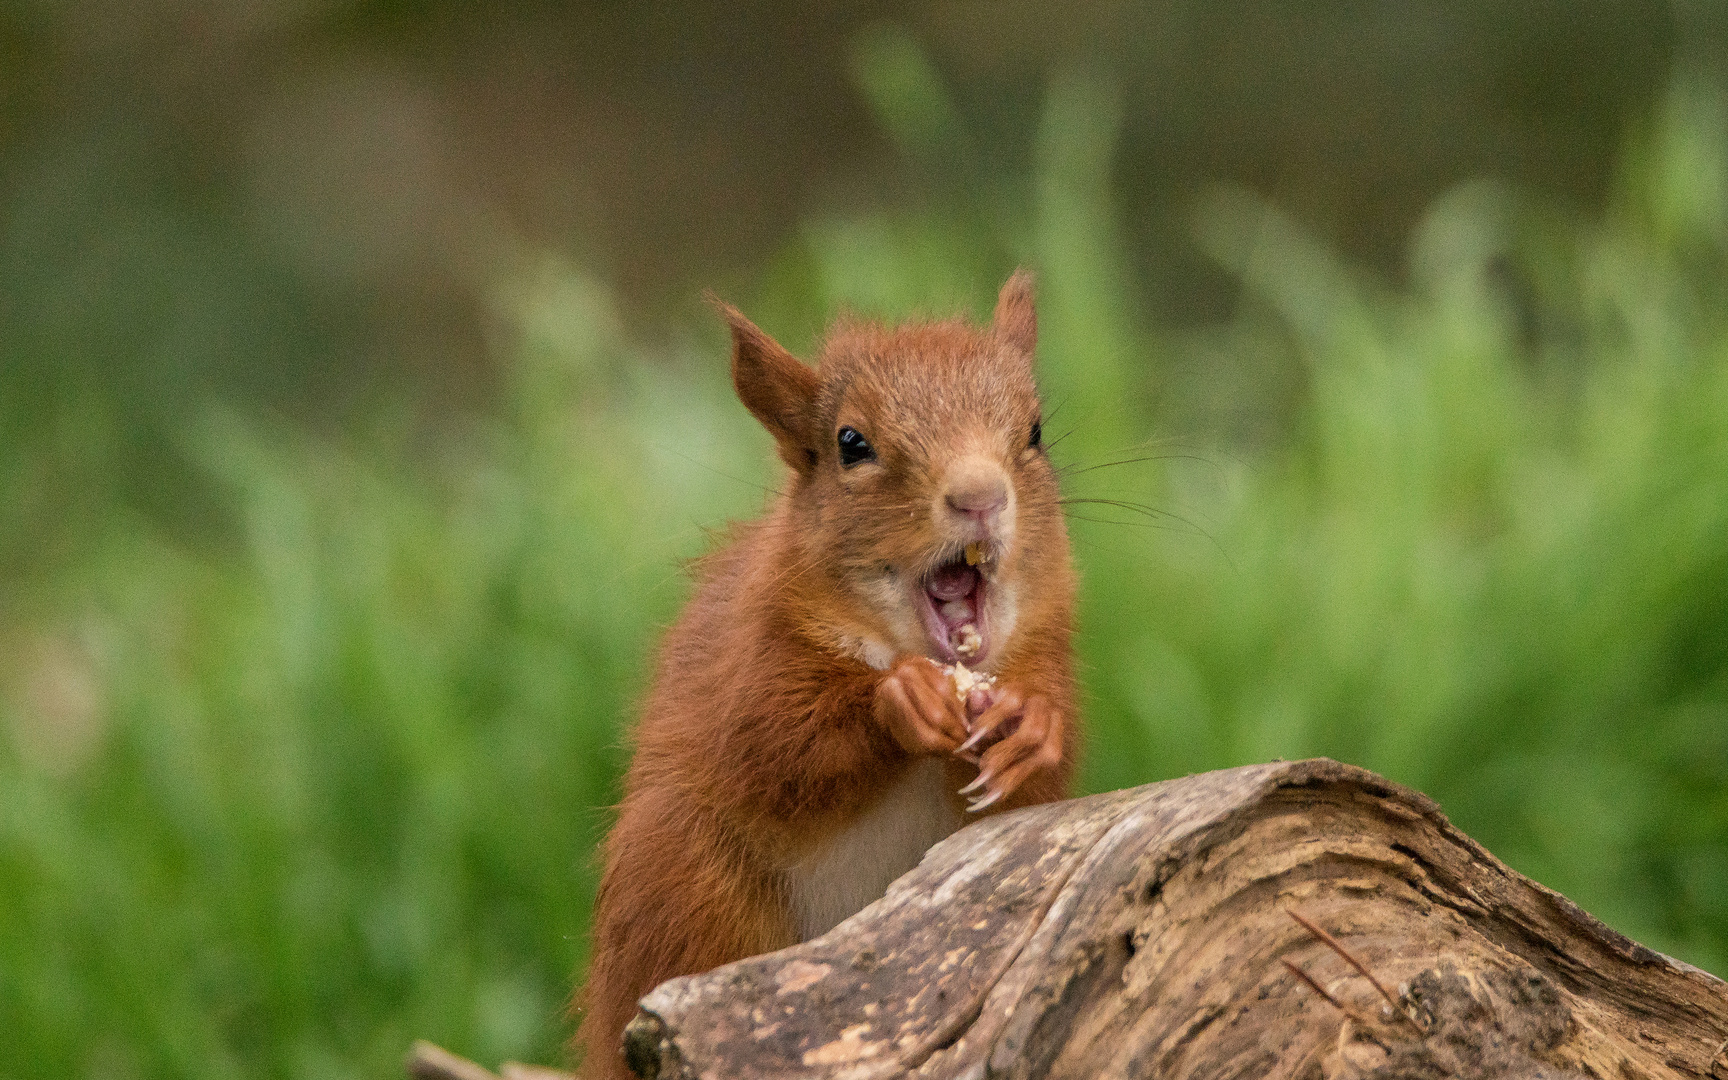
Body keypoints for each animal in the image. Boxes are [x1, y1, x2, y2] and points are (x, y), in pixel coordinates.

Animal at [573, 271, 1071, 1078]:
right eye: (851, 444)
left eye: (1033, 433)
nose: (980, 496)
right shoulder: (751, 662)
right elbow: (776, 754)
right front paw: (899, 703)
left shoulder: (1042, 657)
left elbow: (1026, 810)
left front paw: (1033, 727)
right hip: (686, 885)